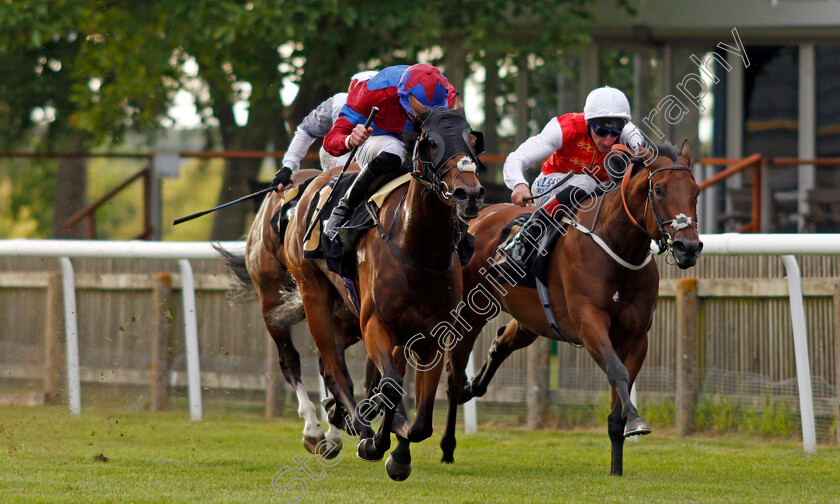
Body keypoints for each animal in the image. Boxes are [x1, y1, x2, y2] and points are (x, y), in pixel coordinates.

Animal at [284, 104, 486, 478]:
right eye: (431, 142)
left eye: (472, 139)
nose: (470, 194)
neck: (418, 250)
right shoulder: (375, 324)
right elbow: (391, 387)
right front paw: (377, 443)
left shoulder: (433, 335)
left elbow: (421, 419)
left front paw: (400, 451)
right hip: (313, 293)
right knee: (335, 370)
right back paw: (358, 427)